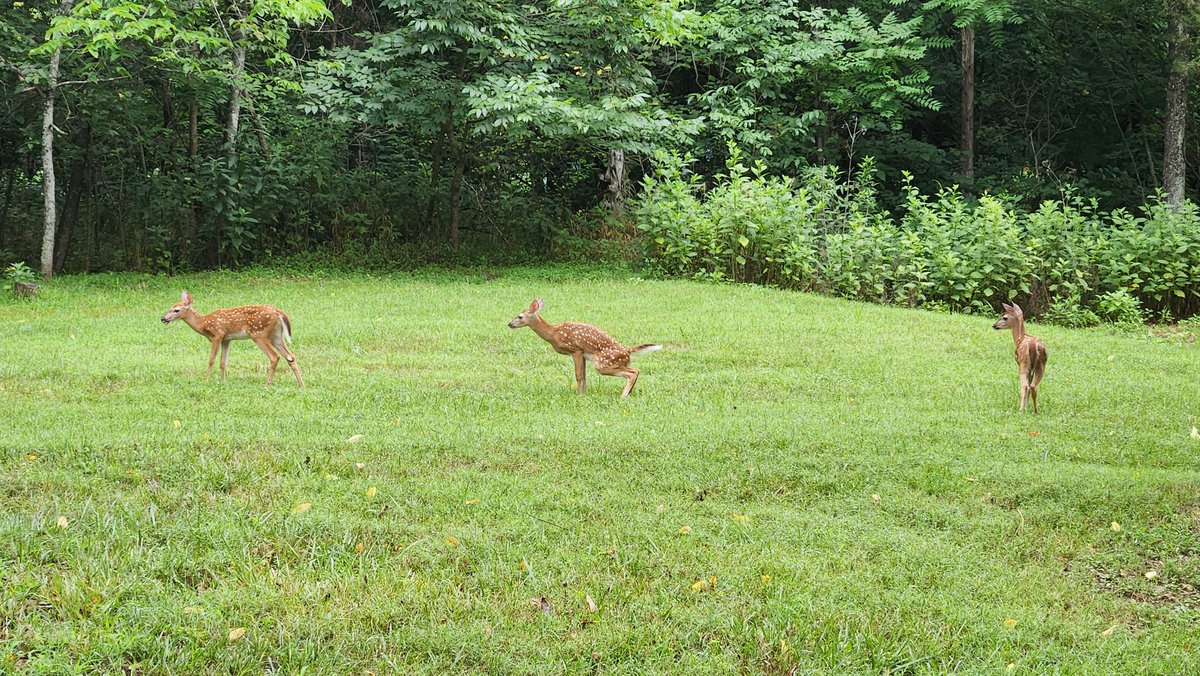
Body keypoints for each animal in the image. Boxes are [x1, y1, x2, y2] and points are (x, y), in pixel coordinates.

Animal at [161, 290, 304, 387]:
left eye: (176, 310)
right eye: (170, 307)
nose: (163, 318)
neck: (205, 323)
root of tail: (279, 313)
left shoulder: (217, 335)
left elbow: (211, 360)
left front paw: (205, 380)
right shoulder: (227, 339)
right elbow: (223, 362)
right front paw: (223, 381)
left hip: (258, 333)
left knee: (274, 356)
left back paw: (267, 384)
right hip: (276, 335)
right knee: (290, 356)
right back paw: (301, 384)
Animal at [508, 298, 661, 398]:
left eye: (519, 316)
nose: (509, 324)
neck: (554, 333)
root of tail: (628, 350)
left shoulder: (575, 349)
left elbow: (578, 375)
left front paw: (579, 395)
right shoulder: (584, 354)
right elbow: (584, 375)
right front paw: (584, 394)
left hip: (603, 363)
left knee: (634, 371)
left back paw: (623, 397)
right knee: (636, 371)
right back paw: (628, 394)